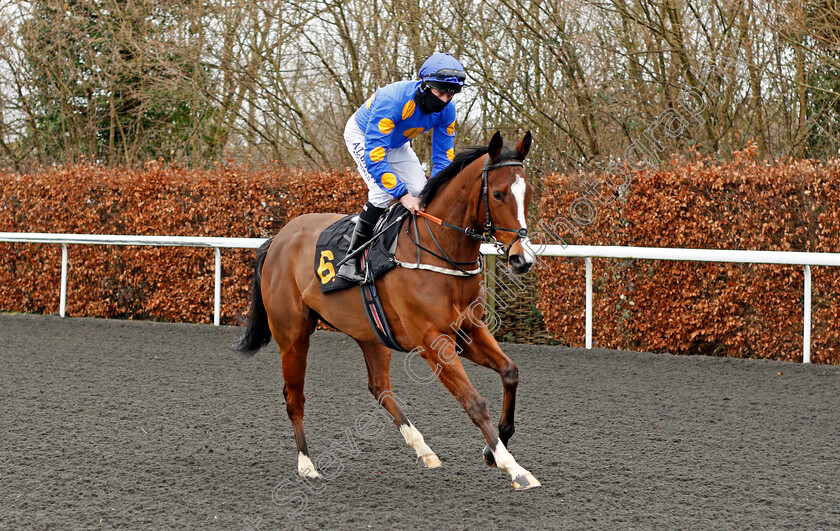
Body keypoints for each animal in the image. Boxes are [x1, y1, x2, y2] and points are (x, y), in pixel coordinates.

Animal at [236, 132, 540, 490]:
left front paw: (494, 450)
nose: (522, 259)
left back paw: (424, 450)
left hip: (371, 334)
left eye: (528, 193)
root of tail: (279, 237)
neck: (437, 251)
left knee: (380, 388)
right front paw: (514, 467)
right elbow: (475, 402)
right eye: (497, 193)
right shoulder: (433, 341)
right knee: (294, 398)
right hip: (293, 336)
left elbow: (510, 372)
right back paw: (307, 465)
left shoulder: (468, 331)